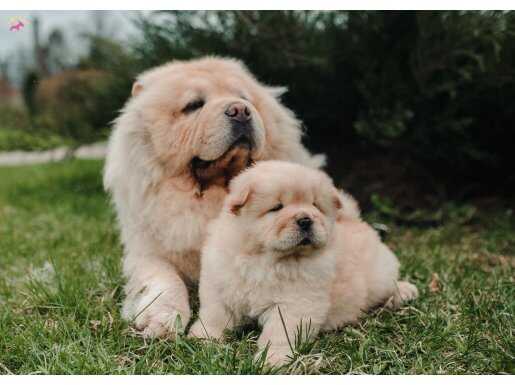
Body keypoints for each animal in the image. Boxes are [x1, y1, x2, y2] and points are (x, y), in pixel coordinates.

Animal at [103, 56, 324, 336]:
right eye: (193, 105)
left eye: (244, 98)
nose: (240, 110)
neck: (212, 195)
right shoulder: (147, 252)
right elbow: (165, 279)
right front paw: (161, 320)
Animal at [189, 160, 420, 364]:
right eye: (277, 207)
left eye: (315, 206)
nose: (306, 219)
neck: (266, 259)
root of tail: (354, 220)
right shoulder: (220, 285)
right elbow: (214, 315)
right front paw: (202, 339)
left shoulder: (296, 303)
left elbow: (280, 333)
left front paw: (272, 360)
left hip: (378, 278)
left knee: (390, 284)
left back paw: (405, 292)